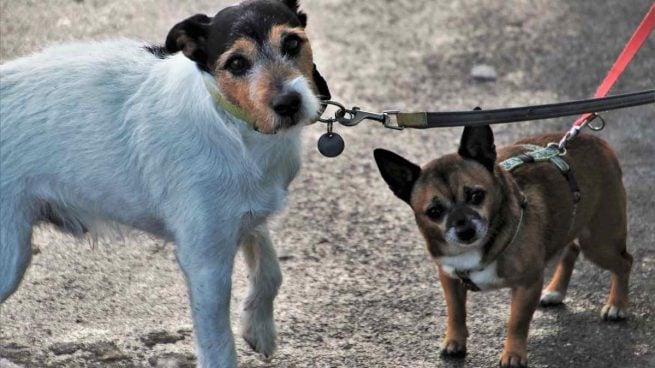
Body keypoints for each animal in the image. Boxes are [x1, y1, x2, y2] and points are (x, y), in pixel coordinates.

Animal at [0, 1, 330, 366]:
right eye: (236, 63)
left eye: (292, 43)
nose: (289, 103)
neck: (232, 124)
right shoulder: (205, 260)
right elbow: (219, 346)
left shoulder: (245, 216)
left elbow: (270, 269)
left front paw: (259, 328)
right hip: (9, 256)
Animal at [376, 125, 632, 366]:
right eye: (434, 212)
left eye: (476, 196)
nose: (465, 230)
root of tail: (596, 141)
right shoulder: (449, 278)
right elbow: (456, 312)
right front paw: (454, 341)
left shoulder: (527, 285)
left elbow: (516, 322)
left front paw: (513, 355)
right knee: (571, 249)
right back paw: (556, 291)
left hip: (599, 243)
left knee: (625, 262)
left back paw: (617, 305)